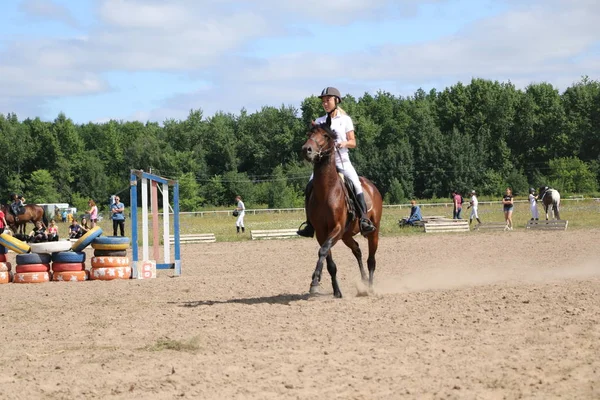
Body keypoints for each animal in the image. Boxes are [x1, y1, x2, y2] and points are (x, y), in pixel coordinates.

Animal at [302, 119, 382, 296]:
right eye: (309, 134)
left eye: (325, 136)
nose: (306, 150)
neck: (326, 191)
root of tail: (372, 187)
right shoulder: (322, 232)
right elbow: (328, 259)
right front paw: (335, 290)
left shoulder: (336, 228)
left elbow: (323, 251)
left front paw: (315, 280)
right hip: (346, 235)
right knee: (357, 250)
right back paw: (363, 282)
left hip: (373, 232)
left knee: (371, 260)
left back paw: (370, 288)